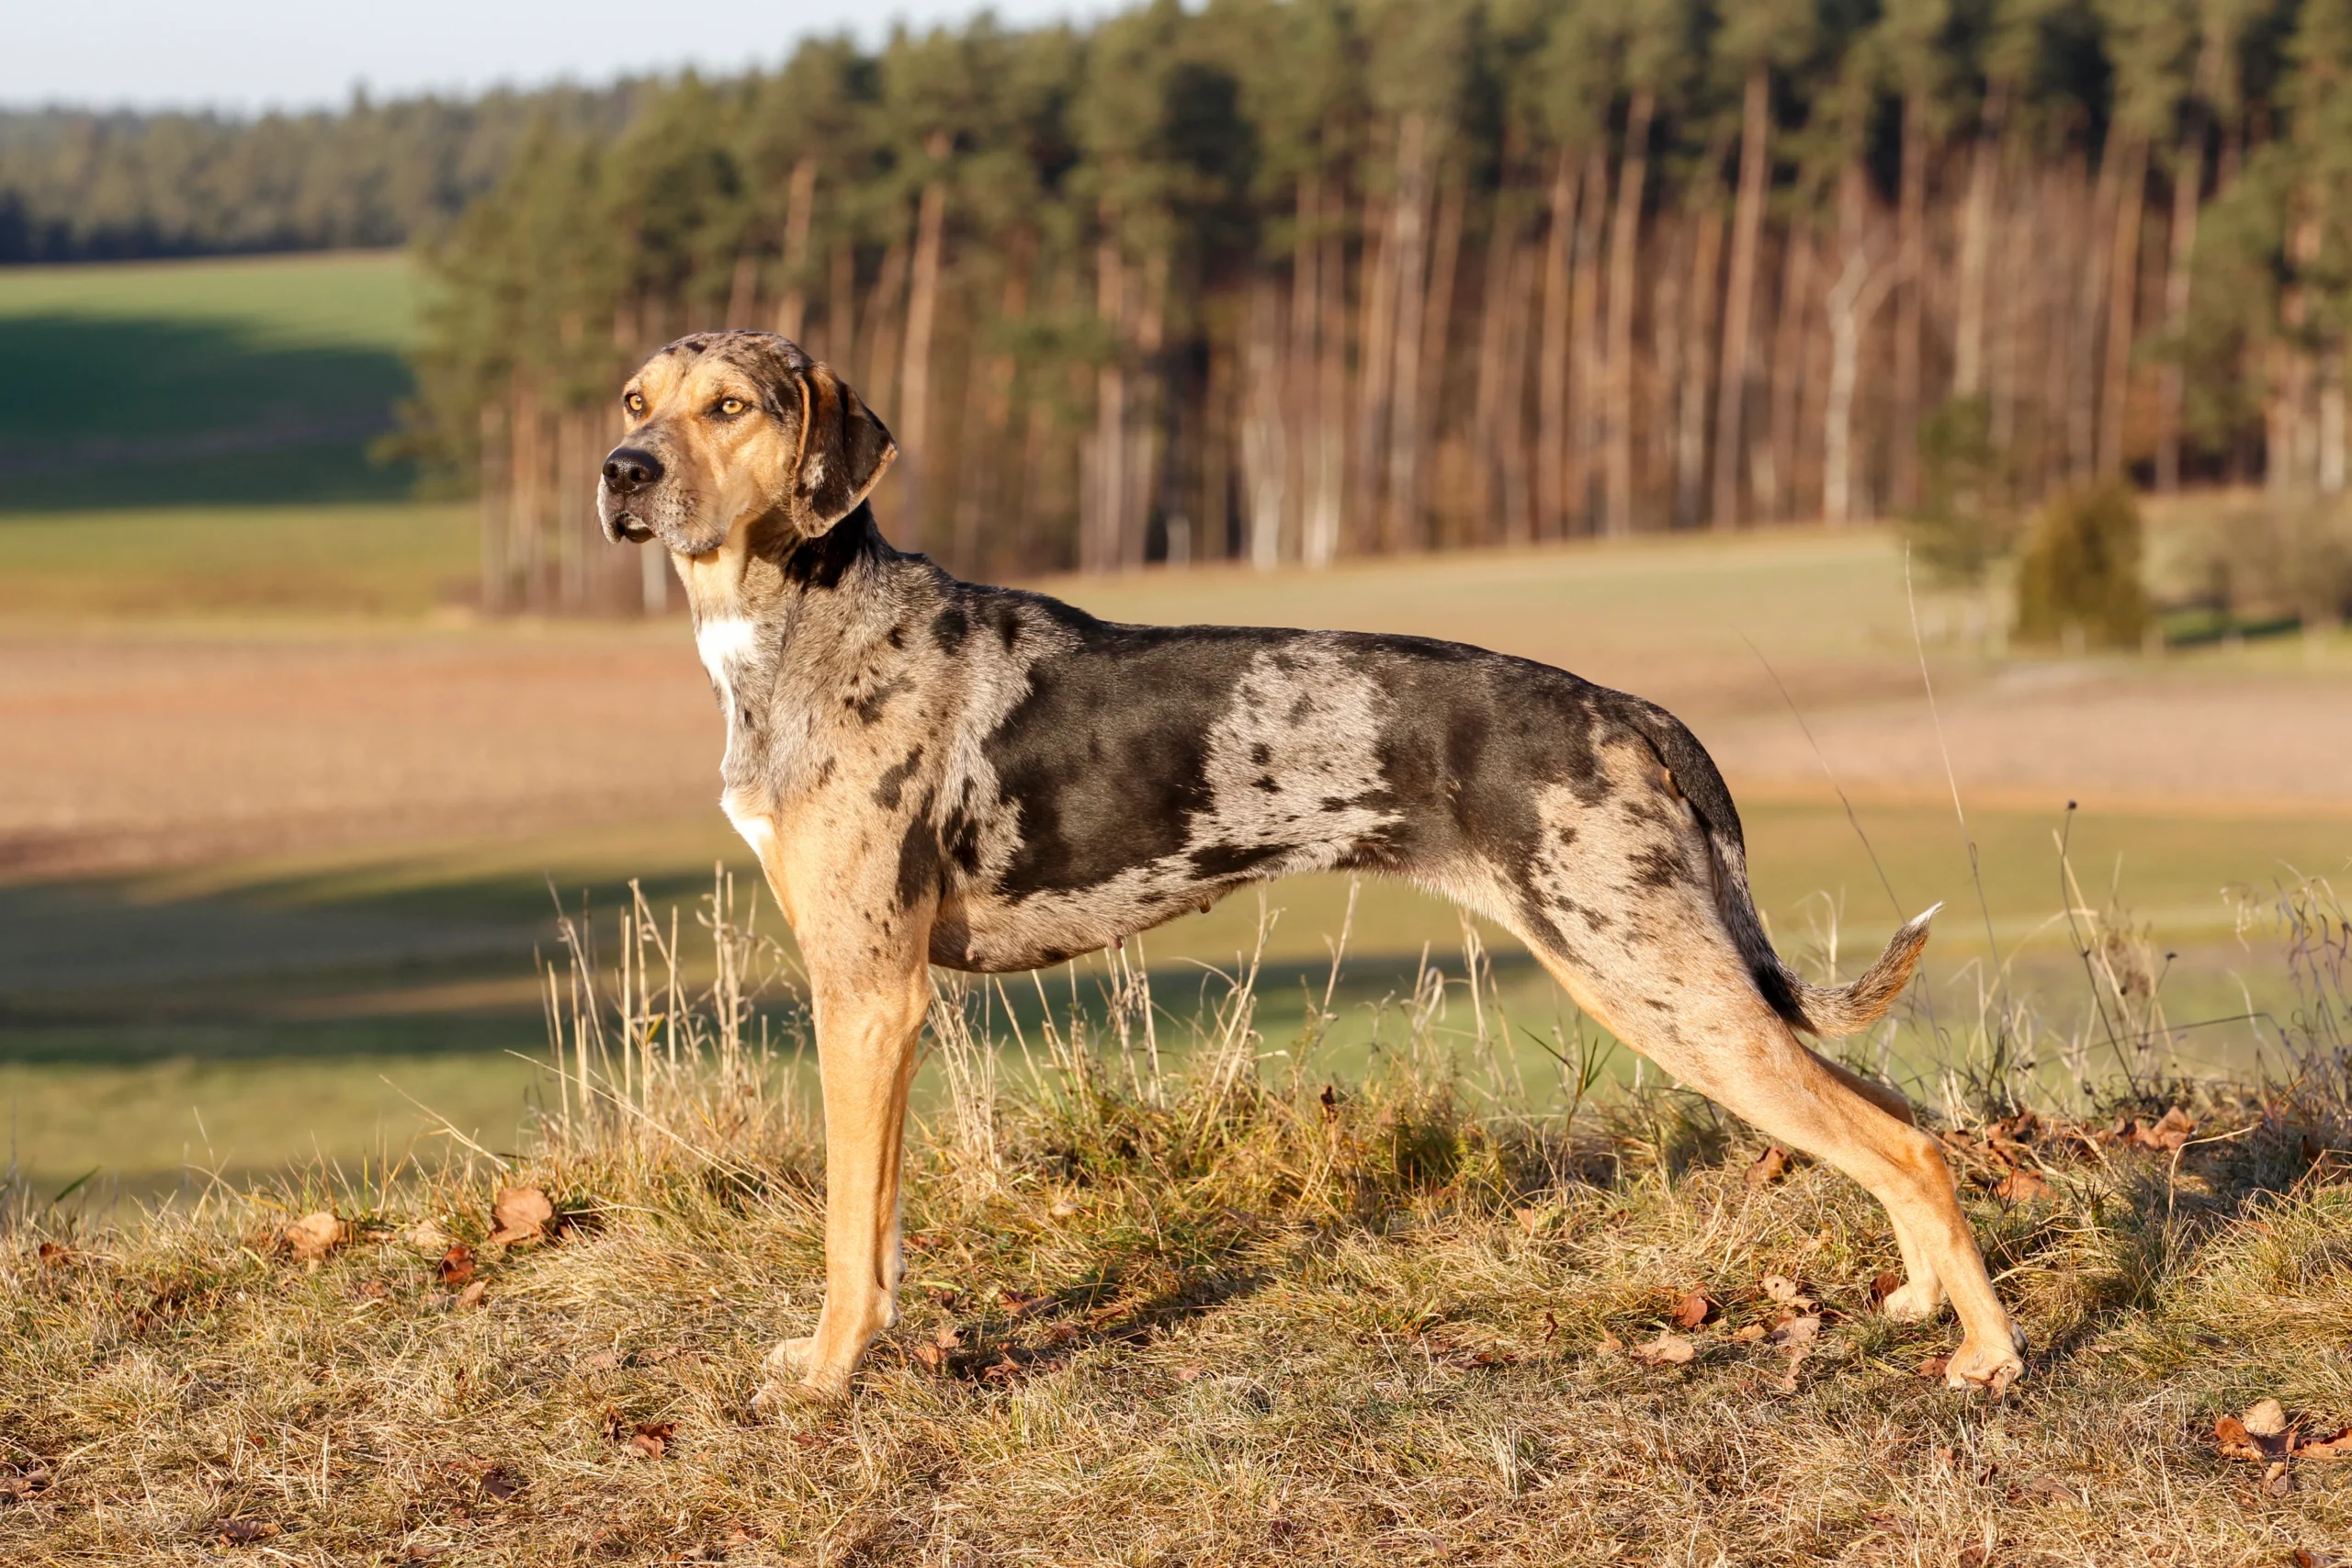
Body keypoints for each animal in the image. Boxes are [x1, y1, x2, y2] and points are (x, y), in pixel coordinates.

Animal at [597, 331, 2031, 1410]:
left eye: (730, 407)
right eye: (634, 400)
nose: (621, 470)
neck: (802, 620)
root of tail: (1628, 709)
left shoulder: (868, 991)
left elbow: (850, 1228)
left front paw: (829, 1373)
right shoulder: (874, 1000)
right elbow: (878, 1222)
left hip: (1660, 982)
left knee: (1908, 1145)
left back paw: (1991, 1357)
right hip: (1674, 979)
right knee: (1890, 1117)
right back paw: (1919, 1299)